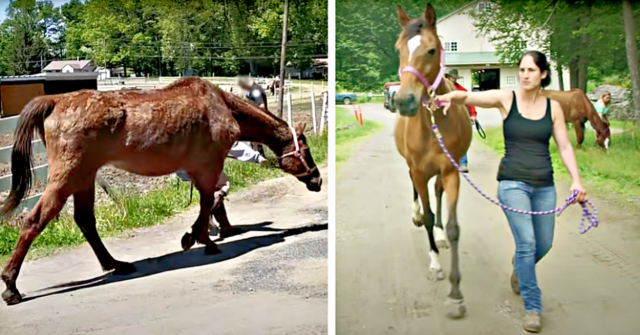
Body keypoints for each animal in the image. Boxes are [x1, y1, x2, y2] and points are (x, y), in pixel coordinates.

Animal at [0, 77, 320, 308]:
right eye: (305, 149)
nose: (317, 180)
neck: (222, 106)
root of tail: (55, 100)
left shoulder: (199, 170)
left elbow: (211, 201)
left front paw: (202, 235)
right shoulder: (208, 167)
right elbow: (208, 202)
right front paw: (201, 238)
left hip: (84, 178)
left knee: (86, 221)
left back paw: (115, 264)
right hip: (67, 178)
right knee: (35, 221)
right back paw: (11, 286)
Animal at [392, 4, 472, 320]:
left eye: (431, 50)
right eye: (399, 48)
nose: (404, 101)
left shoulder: (451, 170)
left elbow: (453, 227)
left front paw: (456, 295)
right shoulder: (418, 170)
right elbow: (425, 216)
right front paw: (436, 266)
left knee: (437, 194)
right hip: (413, 168)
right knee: (417, 192)